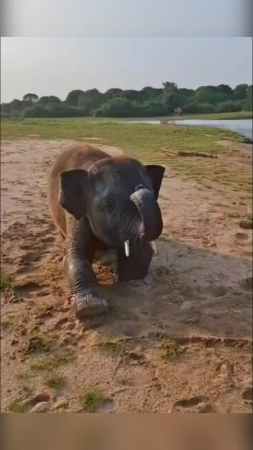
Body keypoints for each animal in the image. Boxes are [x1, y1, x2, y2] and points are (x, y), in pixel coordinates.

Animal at [47, 144, 166, 320]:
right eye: (107, 206)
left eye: (152, 192)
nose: (139, 188)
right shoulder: (76, 216)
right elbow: (75, 256)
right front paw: (91, 308)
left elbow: (140, 254)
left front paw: (125, 278)